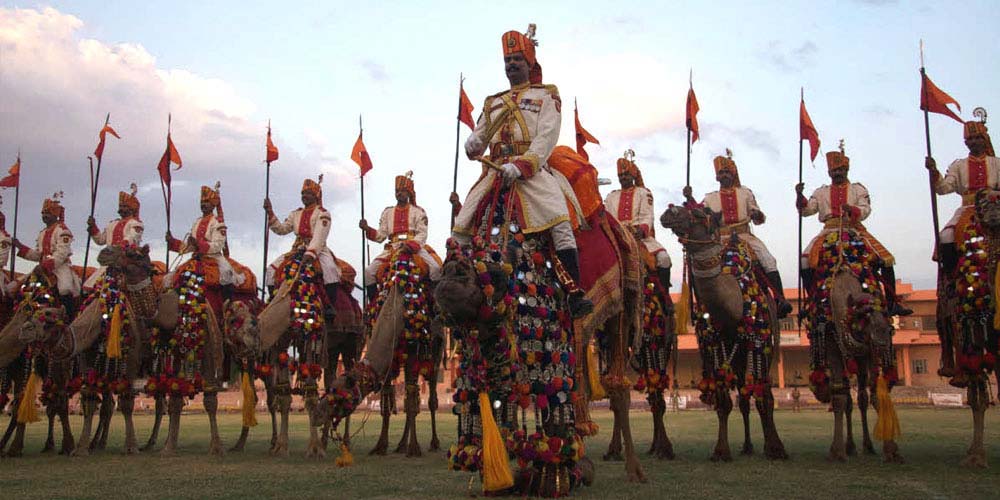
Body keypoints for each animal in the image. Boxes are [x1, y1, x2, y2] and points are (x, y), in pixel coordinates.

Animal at [660, 204, 792, 460]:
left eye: (699, 213)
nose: (670, 211)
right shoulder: (712, 347)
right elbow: (723, 402)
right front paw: (721, 451)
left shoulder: (761, 343)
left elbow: (765, 398)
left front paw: (776, 448)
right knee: (743, 397)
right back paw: (747, 446)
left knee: (754, 394)